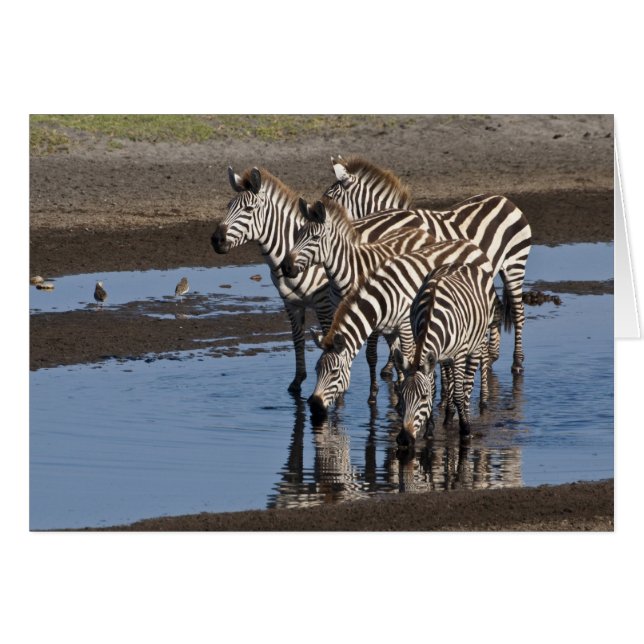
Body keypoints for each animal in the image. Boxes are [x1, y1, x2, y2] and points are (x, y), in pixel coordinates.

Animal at [281, 197, 436, 403]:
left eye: (315, 238)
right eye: (297, 234)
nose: (286, 267)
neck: (343, 274)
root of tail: (419, 231)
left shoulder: (370, 312)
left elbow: (371, 355)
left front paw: (372, 393)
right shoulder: (337, 312)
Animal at [308, 242, 494, 420]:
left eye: (334, 372)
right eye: (316, 369)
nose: (315, 406)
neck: (381, 299)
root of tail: (473, 245)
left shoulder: (405, 326)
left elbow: (406, 356)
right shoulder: (389, 330)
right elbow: (396, 359)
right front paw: (398, 396)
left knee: (483, 351)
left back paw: (484, 398)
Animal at [324, 155, 531, 375]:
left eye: (329, 197)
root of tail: (503, 199)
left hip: (515, 263)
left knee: (518, 312)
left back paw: (517, 362)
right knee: (497, 307)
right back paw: (492, 355)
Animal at [393, 263, 497, 447]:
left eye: (423, 397)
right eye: (402, 396)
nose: (404, 439)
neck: (430, 313)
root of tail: (462, 264)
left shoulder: (460, 353)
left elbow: (458, 394)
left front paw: (465, 429)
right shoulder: (429, 351)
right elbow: (436, 388)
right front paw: (429, 430)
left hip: (477, 340)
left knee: (468, 384)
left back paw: (470, 411)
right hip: (444, 355)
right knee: (449, 379)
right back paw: (448, 416)